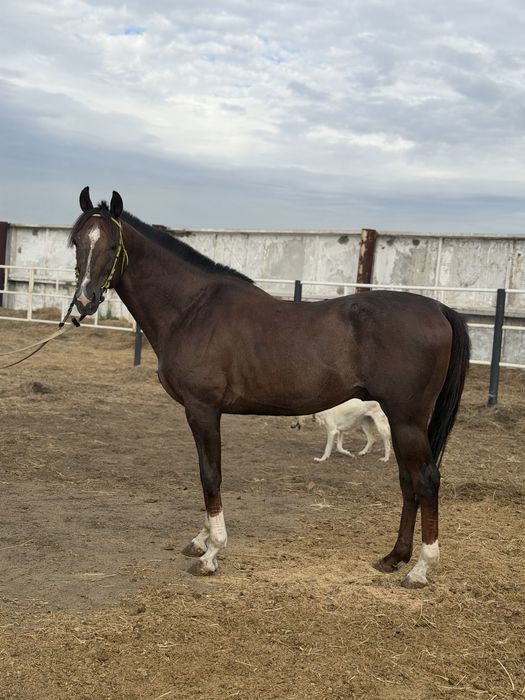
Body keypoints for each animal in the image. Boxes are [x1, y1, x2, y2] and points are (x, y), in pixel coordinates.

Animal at [68, 187, 470, 588]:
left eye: (112, 245)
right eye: (77, 242)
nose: (86, 299)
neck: (192, 309)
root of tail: (438, 308)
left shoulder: (202, 409)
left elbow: (210, 475)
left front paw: (212, 552)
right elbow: (205, 472)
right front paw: (201, 540)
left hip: (406, 419)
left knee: (425, 479)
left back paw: (420, 569)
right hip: (400, 420)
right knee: (407, 480)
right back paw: (394, 557)